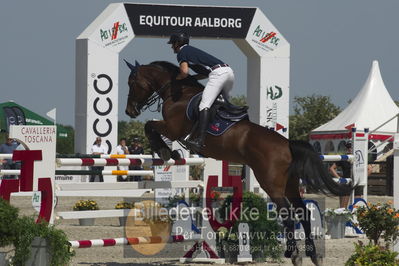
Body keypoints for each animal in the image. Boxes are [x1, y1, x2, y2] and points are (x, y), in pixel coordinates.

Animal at [125, 59, 354, 264]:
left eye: (131, 83)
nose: (130, 111)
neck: (178, 93)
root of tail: (287, 145)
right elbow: (150, 127)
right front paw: (170, 153)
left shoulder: (172, 128)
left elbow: (149, 126)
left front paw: (165, 151)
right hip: (290, 185)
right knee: (303, 214)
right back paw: (313, 254)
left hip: (271, 184)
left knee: (288, 216)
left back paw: (293, 254)